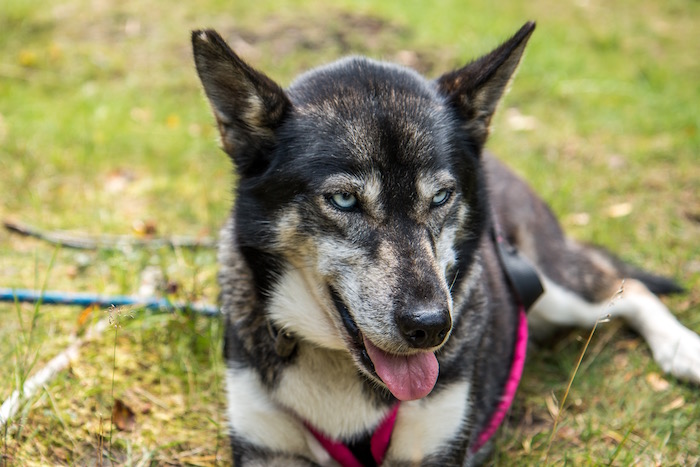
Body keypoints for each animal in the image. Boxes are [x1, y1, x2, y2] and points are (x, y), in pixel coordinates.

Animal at [193, 22, 700, 467]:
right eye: (344, 200)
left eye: (440, 196)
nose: (432, 327)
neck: (340, 368)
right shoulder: (265, 446)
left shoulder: (434, 444)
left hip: (552, 285)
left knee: (625, 287)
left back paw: (683, 350)